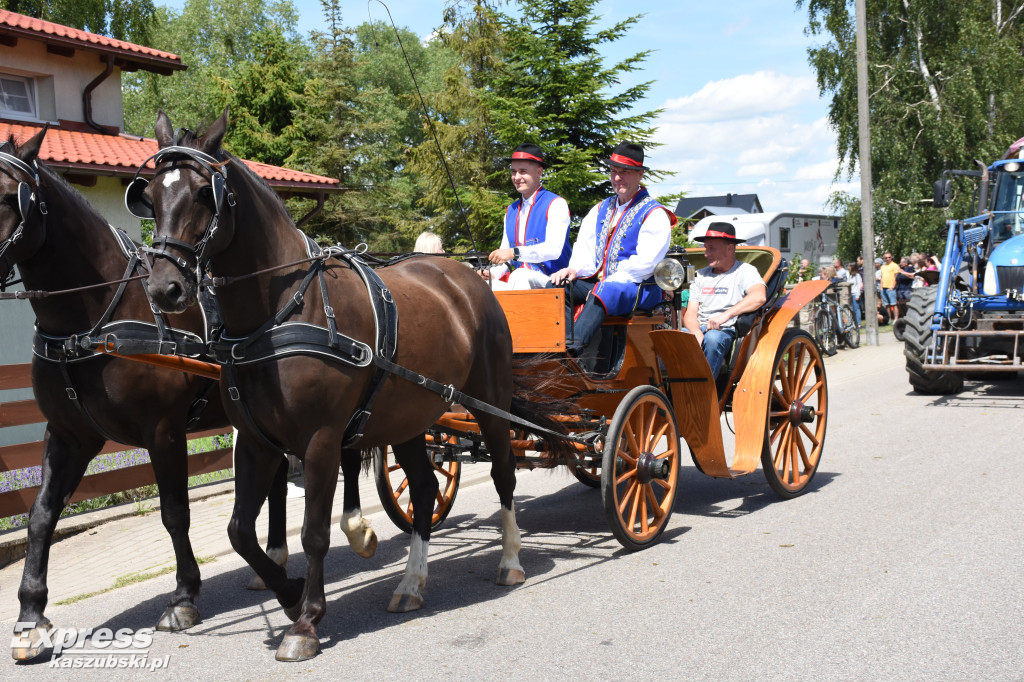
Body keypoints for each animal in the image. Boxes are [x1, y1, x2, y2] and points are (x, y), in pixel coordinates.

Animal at [1, 125, 288, 659]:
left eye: (11, 198)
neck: (91, 323)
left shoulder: (163, 431)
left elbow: (174, 512)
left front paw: (183, 597)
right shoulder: (69, 435)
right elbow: (41, 515)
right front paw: (31, 616)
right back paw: (273, 563)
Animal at [137, 111, 573, 659]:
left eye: (202, 193)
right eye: (150, 195)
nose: (164, 289)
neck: (280, 313)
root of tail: (470, 277)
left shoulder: (322, 440)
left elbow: (314, 532)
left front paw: (306, 622)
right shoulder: (258, 442)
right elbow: (240, 532)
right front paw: (288, 595)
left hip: (490, 405)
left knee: (504, 477)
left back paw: (510, 560)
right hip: (412, 417)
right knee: (426, 488)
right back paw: (411, 583)